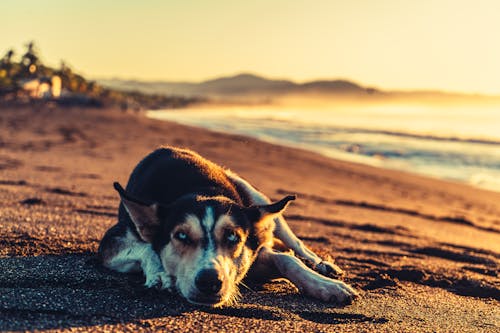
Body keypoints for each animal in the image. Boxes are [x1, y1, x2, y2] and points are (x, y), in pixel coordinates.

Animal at [97, 147, 358, 306]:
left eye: (233, 238)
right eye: (181, 235)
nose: (209, 282)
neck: (201, 190)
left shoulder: (252, 252)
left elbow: (287, 259)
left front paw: (325, 286)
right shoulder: (111, 242)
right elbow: (147, 247)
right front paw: (160, 273)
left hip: (256, 198)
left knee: (296, 243)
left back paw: (322, 265)